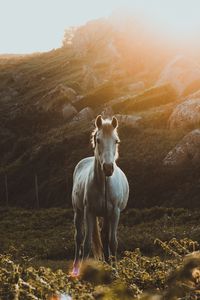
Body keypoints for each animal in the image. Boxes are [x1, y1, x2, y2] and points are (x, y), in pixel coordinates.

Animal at [71, 116, 129, 276]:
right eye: (98, 140)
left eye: (116, 141)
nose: (108, 168)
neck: (103, 185)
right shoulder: (89, 212)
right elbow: (87, 243)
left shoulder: (114, 213)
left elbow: (112, 242)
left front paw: (114, 271)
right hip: (78, 212)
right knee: (78, 238)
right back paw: (76, 268)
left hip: (106, 215)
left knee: (104, 237)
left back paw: (107, 264)